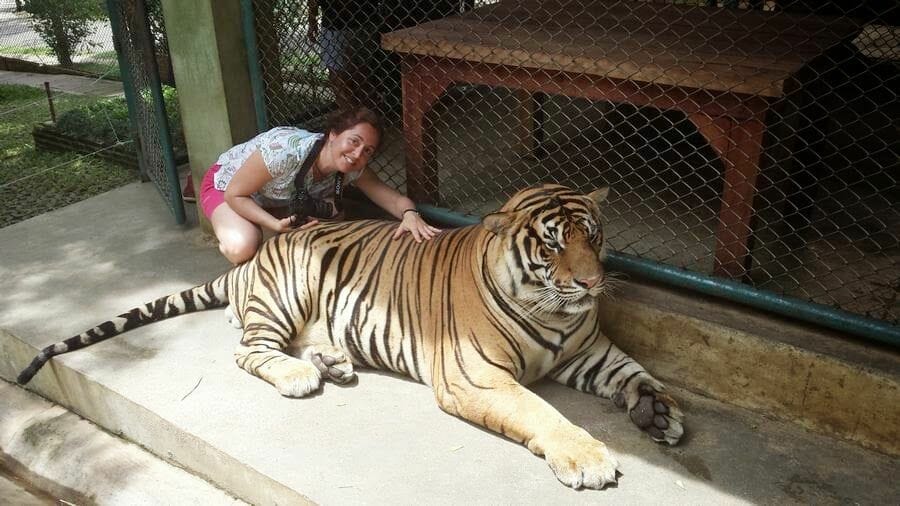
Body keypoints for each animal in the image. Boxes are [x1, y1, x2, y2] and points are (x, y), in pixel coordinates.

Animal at [17, 183, 683, 490]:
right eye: (552, 245)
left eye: (593, 237)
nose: (593, 282)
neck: (555, 312)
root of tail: (255, 257)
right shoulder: (476, 376)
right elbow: (542, 412)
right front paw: (589, 458)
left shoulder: (588, 352)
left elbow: (636, 373)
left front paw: (658, 412)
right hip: (286, 294)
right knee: (249, 350)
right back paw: (301, 375)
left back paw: (332, 362)